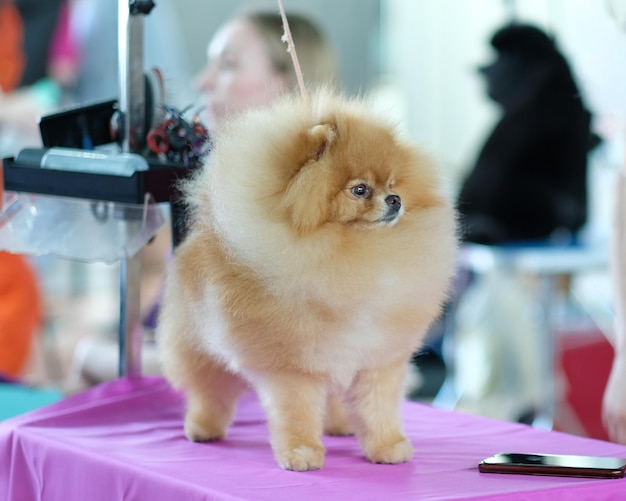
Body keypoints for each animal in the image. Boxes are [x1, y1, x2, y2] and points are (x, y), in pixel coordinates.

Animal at [158, 89, 456, 468]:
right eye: (360, 190)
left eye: (392, 184)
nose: (395, 200)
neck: (356, 258)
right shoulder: (293, 368)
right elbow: (297, 413)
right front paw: (301, 452)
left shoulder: (376, 360)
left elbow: (378, 408)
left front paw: (388, 446)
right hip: (200, 347)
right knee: (210, 390)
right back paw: (203, 427)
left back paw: (340, 426)